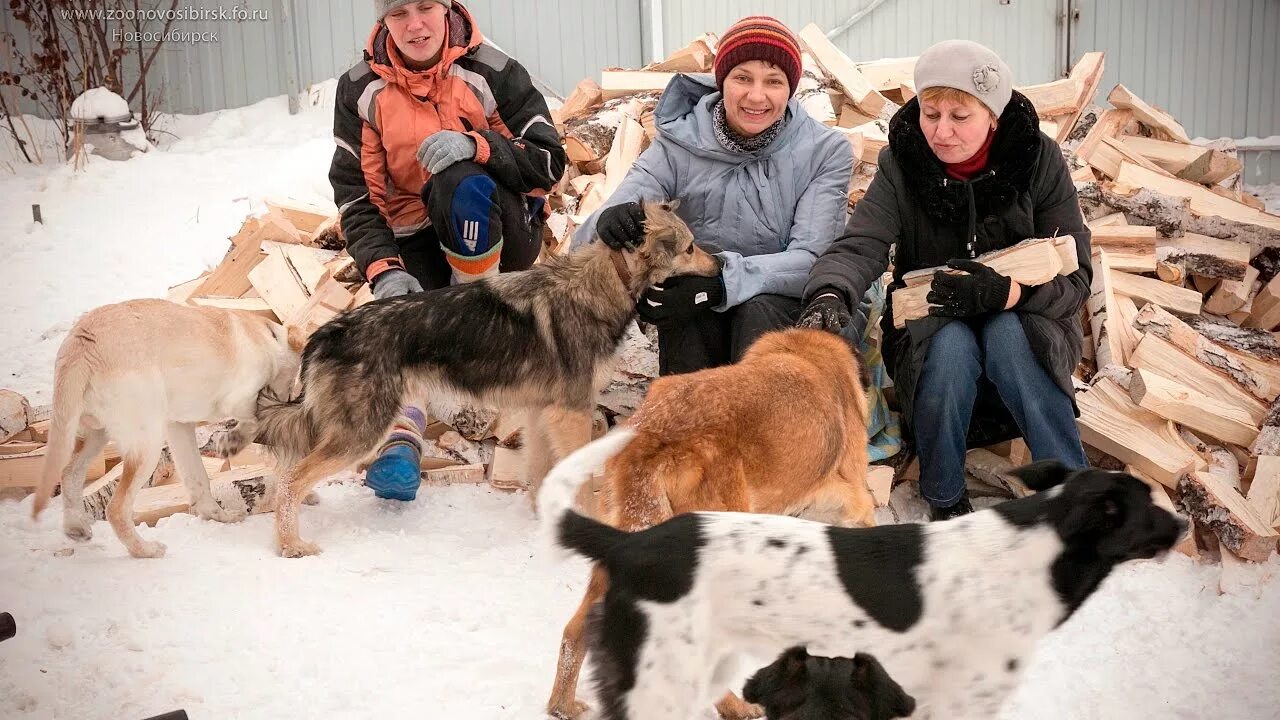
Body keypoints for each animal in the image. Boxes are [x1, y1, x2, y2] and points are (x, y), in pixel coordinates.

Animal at [34, 297, 299, 556]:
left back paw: (76, 527)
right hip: (146, 444)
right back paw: (145, 550)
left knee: (70, 473)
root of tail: (82, 344)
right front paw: (231, 444)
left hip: (94, 434)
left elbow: (198, 479)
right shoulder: (239, 399)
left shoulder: (179, 426)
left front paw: (218, 516)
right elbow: (255, 419)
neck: (270, 339)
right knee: (116, 509)